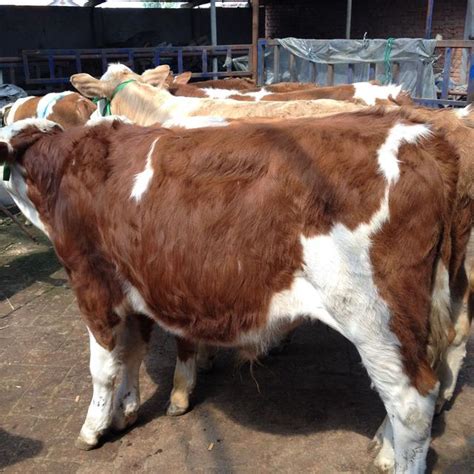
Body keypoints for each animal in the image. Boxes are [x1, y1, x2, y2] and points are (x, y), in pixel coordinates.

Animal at [1, 106, 472, 470]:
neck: (66, 167)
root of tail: (421, 134)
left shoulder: (91, 282)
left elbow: (102, 367)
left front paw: (94, 427)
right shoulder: (134, 285)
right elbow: (131, 354)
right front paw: (127, 410)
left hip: (375, 315)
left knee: (412, 401)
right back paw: (385, 449)